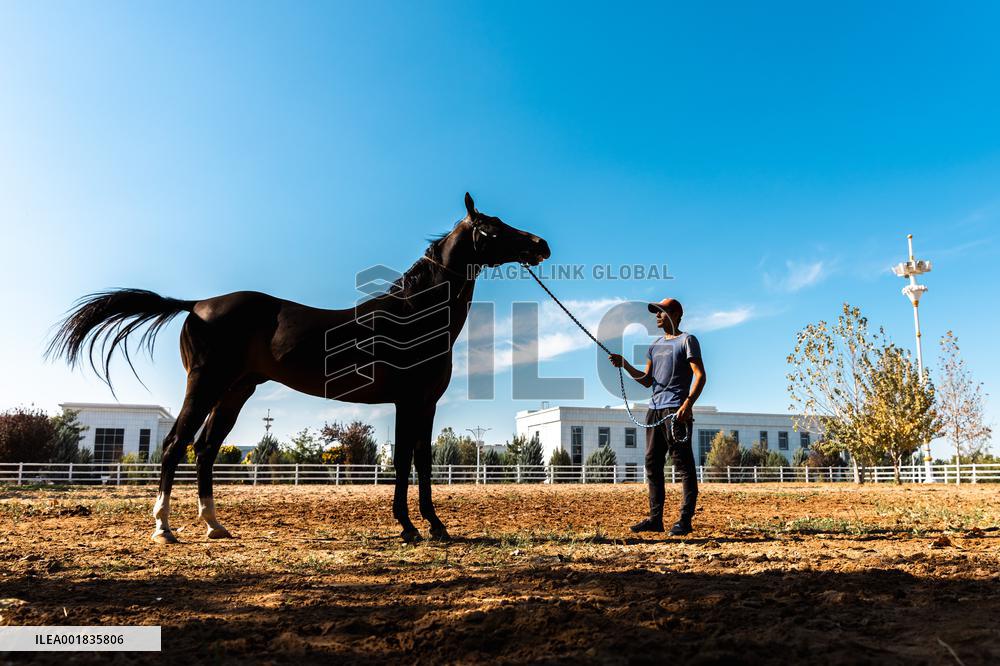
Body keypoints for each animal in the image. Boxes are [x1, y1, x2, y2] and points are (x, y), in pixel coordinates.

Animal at [47, 193, 550, 544]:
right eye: (491, 227)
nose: (541, 244)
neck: (412, 315)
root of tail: (197, 305)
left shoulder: (421, 404)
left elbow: (420, 462)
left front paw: (427, 526)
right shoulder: (410, 402)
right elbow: (411, 462)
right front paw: (416, 527)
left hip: (235, 391)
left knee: (206, 448)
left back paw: (214, 526)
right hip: (205, 385)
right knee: (175, 444)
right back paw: (164, 528)